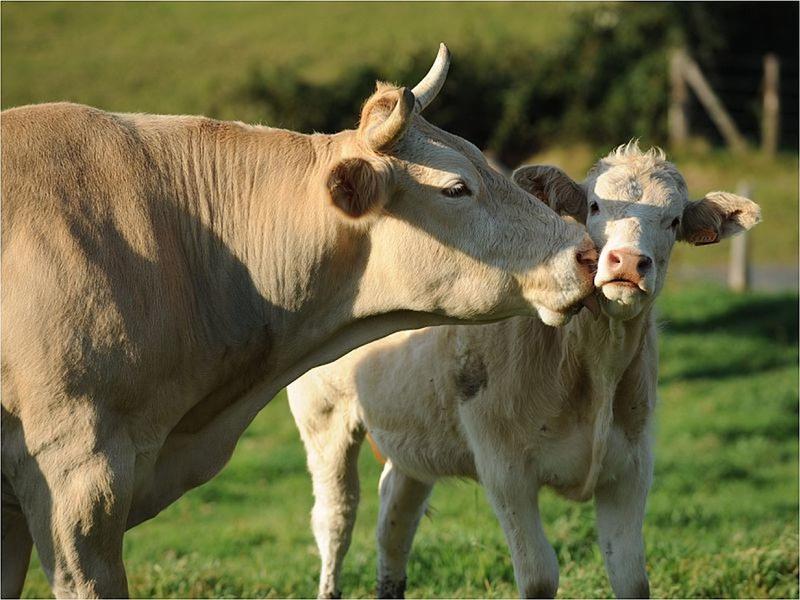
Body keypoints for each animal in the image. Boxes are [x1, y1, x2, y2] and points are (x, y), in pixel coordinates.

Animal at [288, 143, 761, 599]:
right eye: (594, 206)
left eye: (674, 220)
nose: (626, 262)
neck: (596, 369)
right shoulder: (504, 465)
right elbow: (538, 577)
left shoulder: (631, 464)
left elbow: (631, 579)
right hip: (323, 416)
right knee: (335, 520)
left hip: (414, 431)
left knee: (395, 519)